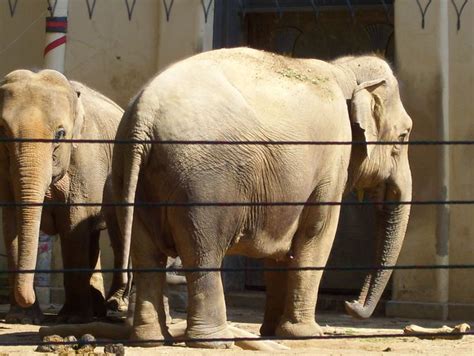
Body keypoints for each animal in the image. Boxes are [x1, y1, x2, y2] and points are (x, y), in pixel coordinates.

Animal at [0, 70, 129, 326]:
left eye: (60, 134)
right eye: (3, 131)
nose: (28, 298)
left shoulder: (88, 159)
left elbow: (74, 223)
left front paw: (73, 319)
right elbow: (11, 224)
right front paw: (22, 319)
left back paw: (114, 305)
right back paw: (98, 309)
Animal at [42, 47, 412, 348]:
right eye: (405, 135)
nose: (351, 306)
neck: (344, 72)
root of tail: (142, 118)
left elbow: (283, 247)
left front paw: (271, 333)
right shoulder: (332, 159)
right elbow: (316, 233)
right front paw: (306, 335)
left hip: (126, 174)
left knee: (147, 254)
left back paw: (150, 339)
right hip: (202, 182)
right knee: (202, 251)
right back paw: (214, 340)